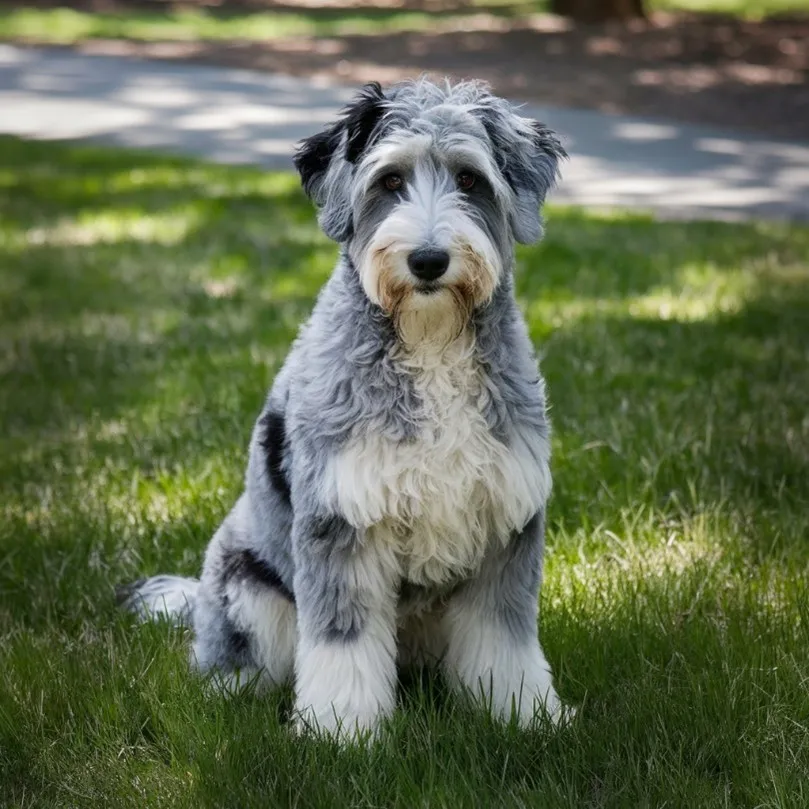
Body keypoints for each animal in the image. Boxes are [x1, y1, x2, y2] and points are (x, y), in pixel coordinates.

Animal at [123, 76, 572, 740]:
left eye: (469, 179)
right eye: (389, 181)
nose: (428, 261)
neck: (429, 343)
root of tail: (197, 595)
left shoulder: (506, 522)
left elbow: (505, 639)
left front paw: (524, 716)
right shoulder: (342, 522)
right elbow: (344, 645)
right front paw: (342, 734)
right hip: (248, 592)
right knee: (234, 667)